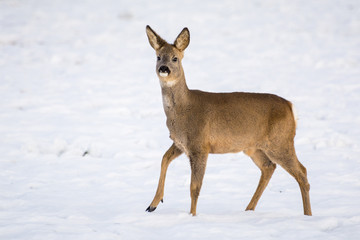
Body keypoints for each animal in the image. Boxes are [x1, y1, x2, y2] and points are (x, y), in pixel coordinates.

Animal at [145, 25, 310, 217]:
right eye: (158, 57)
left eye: (175, 58)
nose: (164, 68)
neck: (181, 112)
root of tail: (291, 107)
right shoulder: (181, 143)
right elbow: (164, 159)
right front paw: (153, 204)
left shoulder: (200, 145)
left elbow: (195, 187)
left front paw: (192, 216)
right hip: (254, 147)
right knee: (269, 167)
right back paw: (248, 209)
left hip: (280, 141)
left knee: (302, 172)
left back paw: (307, 215)